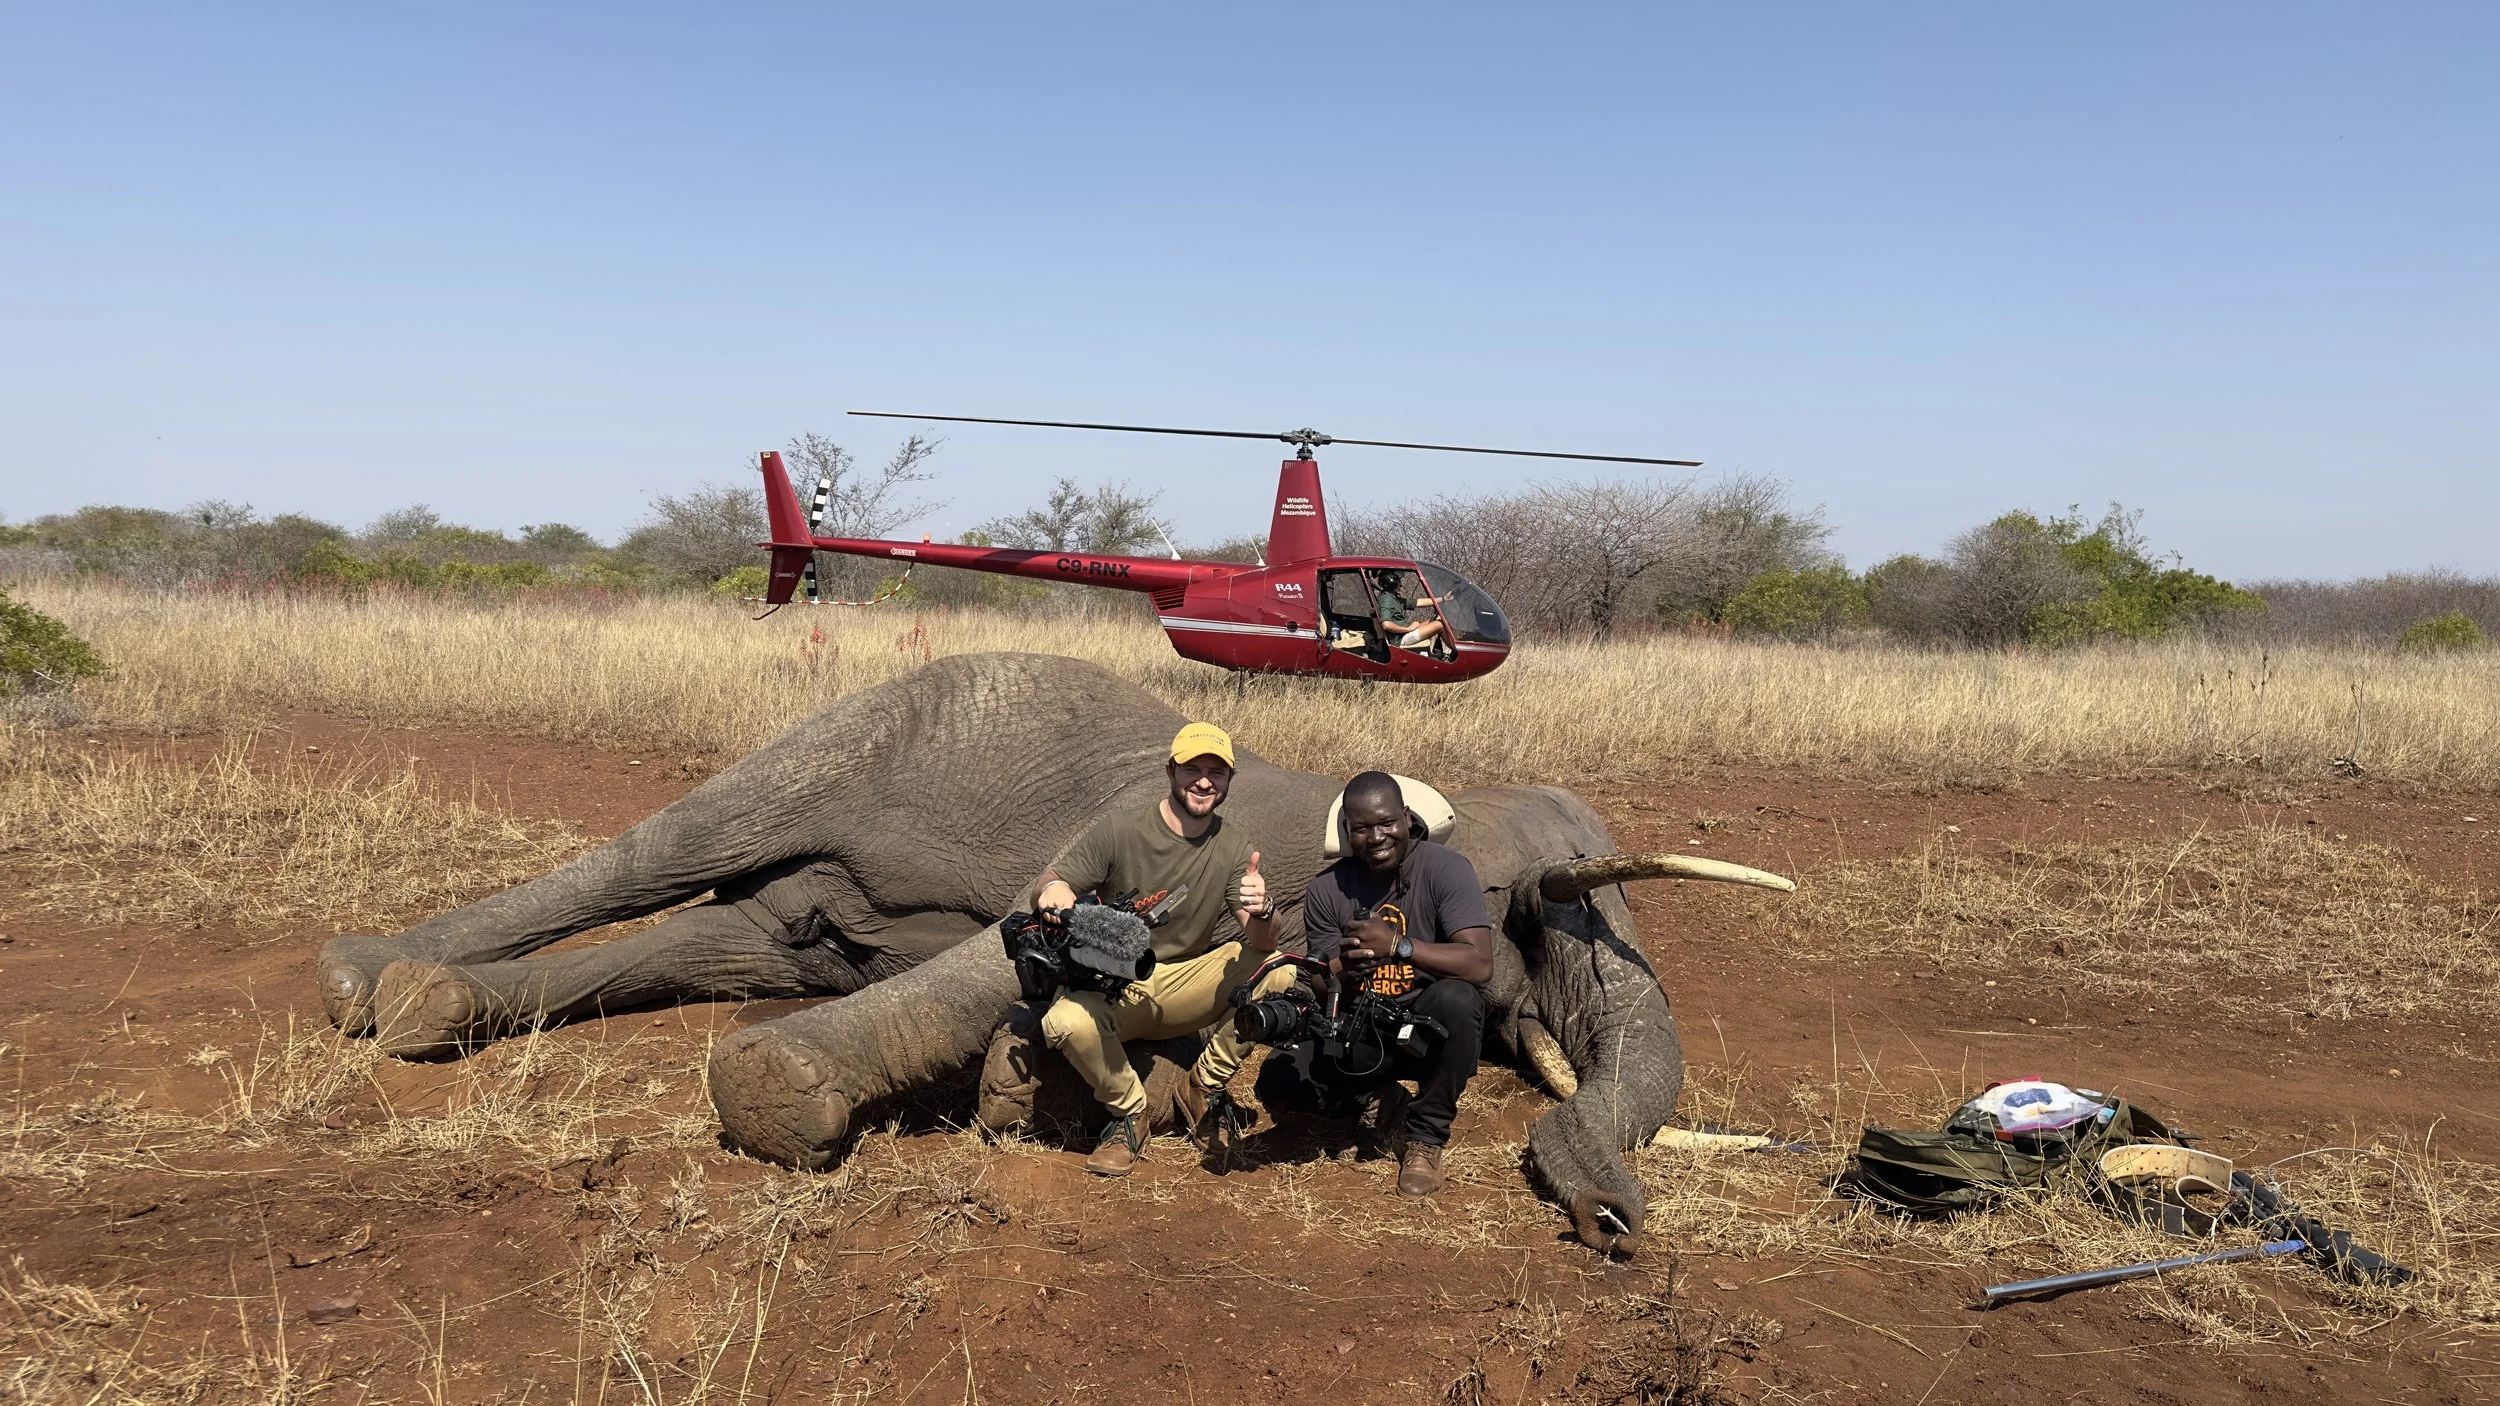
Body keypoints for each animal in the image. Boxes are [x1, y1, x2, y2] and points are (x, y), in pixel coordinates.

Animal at [314, 652, 1792, 1255]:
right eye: (1535, 909)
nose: (1613, 1226)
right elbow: (1021, 942)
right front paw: (780, 1101)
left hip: (801, 918)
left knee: (725, 926)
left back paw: (420, 1003)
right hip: (863, 724)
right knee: (664, 854)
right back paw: (366, 984)